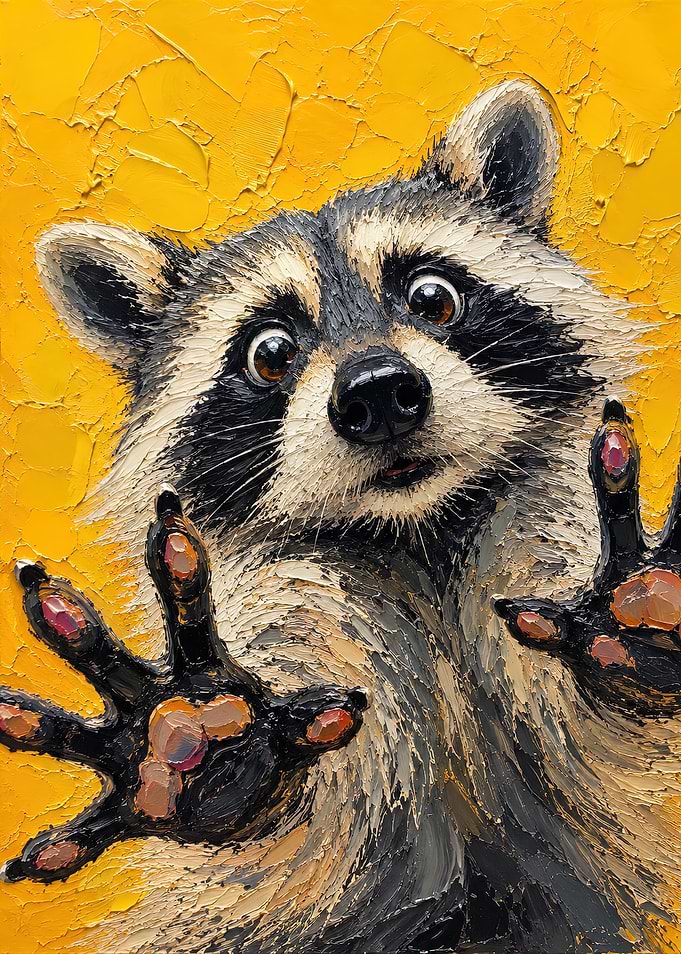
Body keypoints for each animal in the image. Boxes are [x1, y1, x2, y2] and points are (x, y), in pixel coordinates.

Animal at [8, 80, 681, 953]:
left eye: (433, 297)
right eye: (268, 351)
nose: (377, 392)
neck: (415, 536)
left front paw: (644, 614)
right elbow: (316, 854)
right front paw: (195, 739)